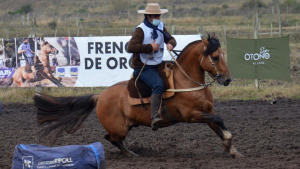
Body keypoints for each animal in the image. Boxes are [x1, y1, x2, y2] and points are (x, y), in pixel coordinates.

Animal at [33, 34, 244, 158]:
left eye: (222, 54)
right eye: (215, 57)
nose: (227, 79)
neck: (186, 81)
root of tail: (100, 95)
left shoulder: (207, 112)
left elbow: (218, 126)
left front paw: (232, 150)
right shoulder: (191, 115)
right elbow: (220, 122)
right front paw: (228, 144)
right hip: (119, 128)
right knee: (110, 137)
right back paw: (131, 154)